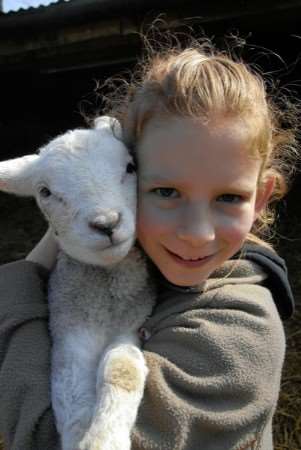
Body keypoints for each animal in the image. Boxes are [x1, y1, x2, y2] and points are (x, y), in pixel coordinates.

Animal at [0, 117, 157, 450]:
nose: (107, 223)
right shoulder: (69, 330)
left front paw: (105, 436)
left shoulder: (133, 323)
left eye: (130, 167)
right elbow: (69, 389)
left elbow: (122, 366)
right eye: (45, 192)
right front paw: (88, 437)